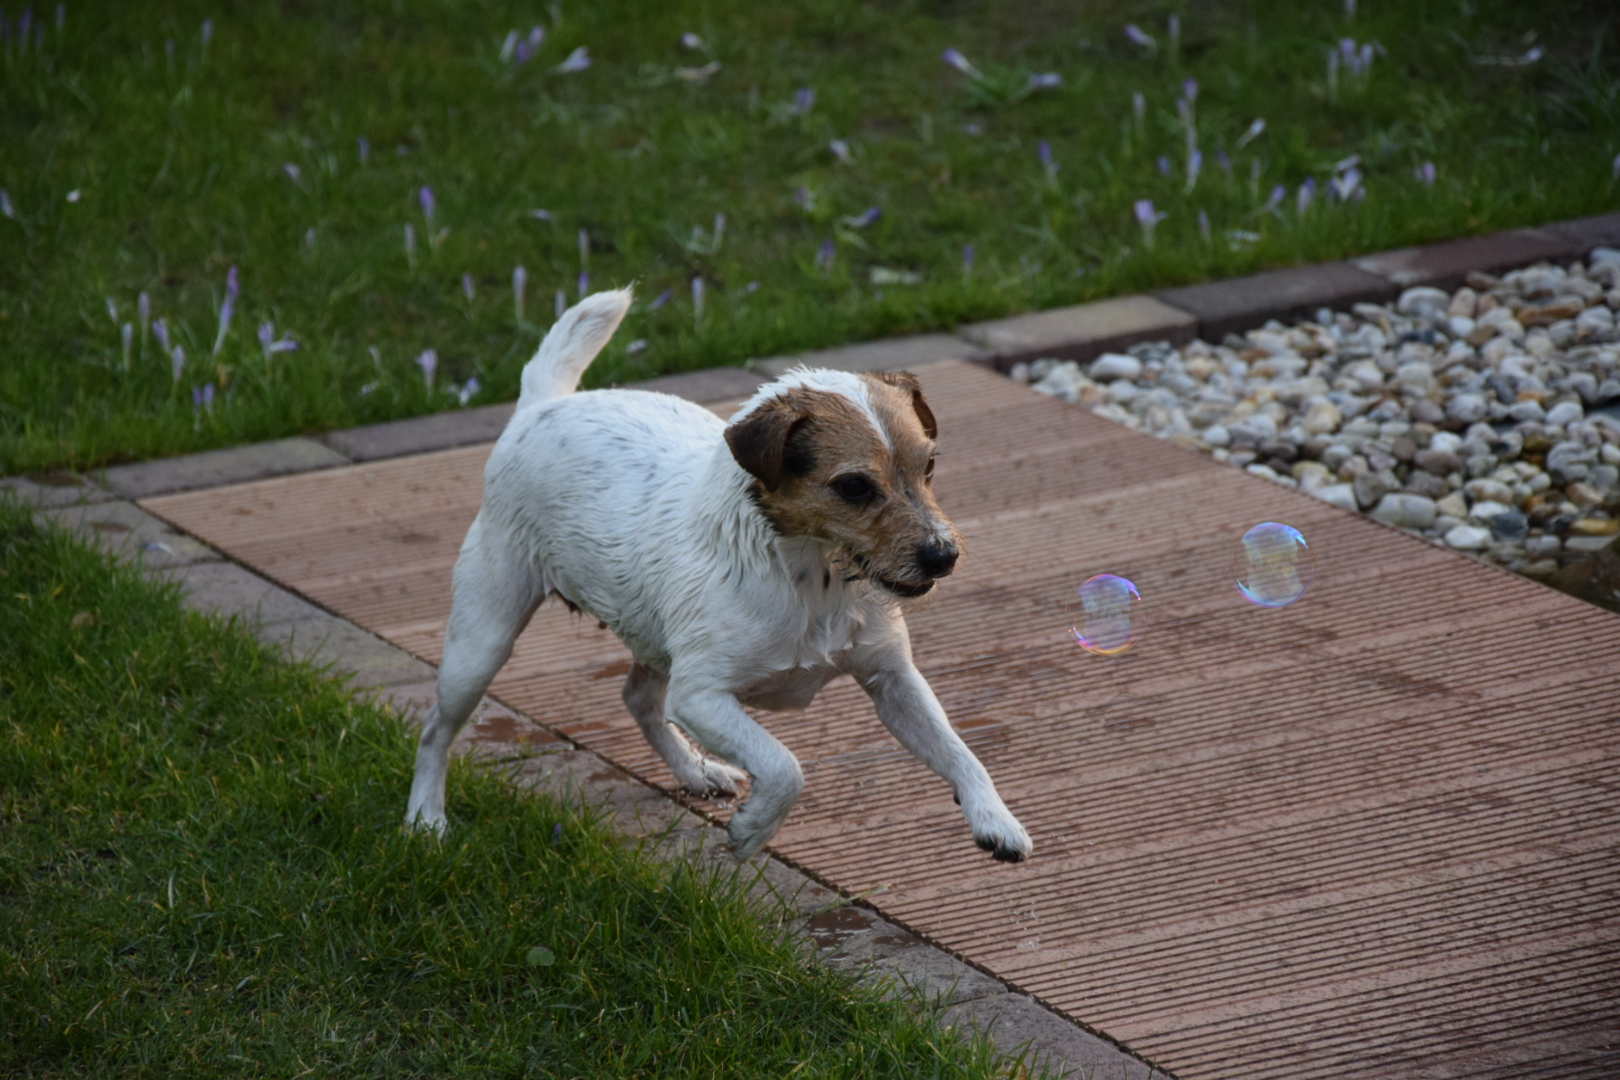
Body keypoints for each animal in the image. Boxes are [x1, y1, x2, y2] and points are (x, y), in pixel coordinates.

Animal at [408, 286, 1036, 861]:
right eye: (854, 486)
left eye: (929, 466)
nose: (943, 556)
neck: (814, 579)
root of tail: (540, 409)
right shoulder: (703, 695)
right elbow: (785, 766)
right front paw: (755, 829)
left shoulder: (893, 681)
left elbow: (959, 750)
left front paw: (994, 818)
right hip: (483, 640)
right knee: (436, 729)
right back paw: (425, 819)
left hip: (656, 634)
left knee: (638, 697)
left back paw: (695, 770)